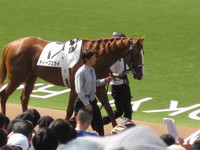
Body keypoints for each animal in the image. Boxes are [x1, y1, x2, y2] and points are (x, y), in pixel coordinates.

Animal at [0, 36, 145, 126]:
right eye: (137, 54)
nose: (141, 75)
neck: (96, 57)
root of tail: (11, 45)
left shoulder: (99, 87)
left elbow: (109, 109)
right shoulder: (76, 87)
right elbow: (70, 110)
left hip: (31, 76)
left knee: (24, 97)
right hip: (17, 77)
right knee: (4, 95)